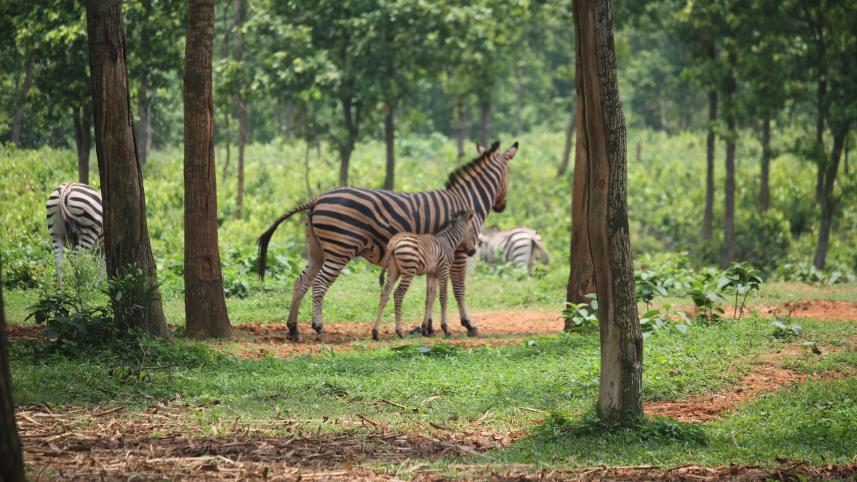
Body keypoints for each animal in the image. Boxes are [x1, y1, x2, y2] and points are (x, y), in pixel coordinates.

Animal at [372, 210, 478, 341]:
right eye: (472, 232)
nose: (473, 252)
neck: (448, 242)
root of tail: (394, 241)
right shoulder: (443, 271)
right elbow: (443, 297)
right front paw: (445, 329)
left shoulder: (432, 273)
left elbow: (430, 298)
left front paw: (425, 329)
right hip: (409, 271)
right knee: (398, 294)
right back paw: (400, 331)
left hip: (393, 271)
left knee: (384, 294)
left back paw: (375, 332)